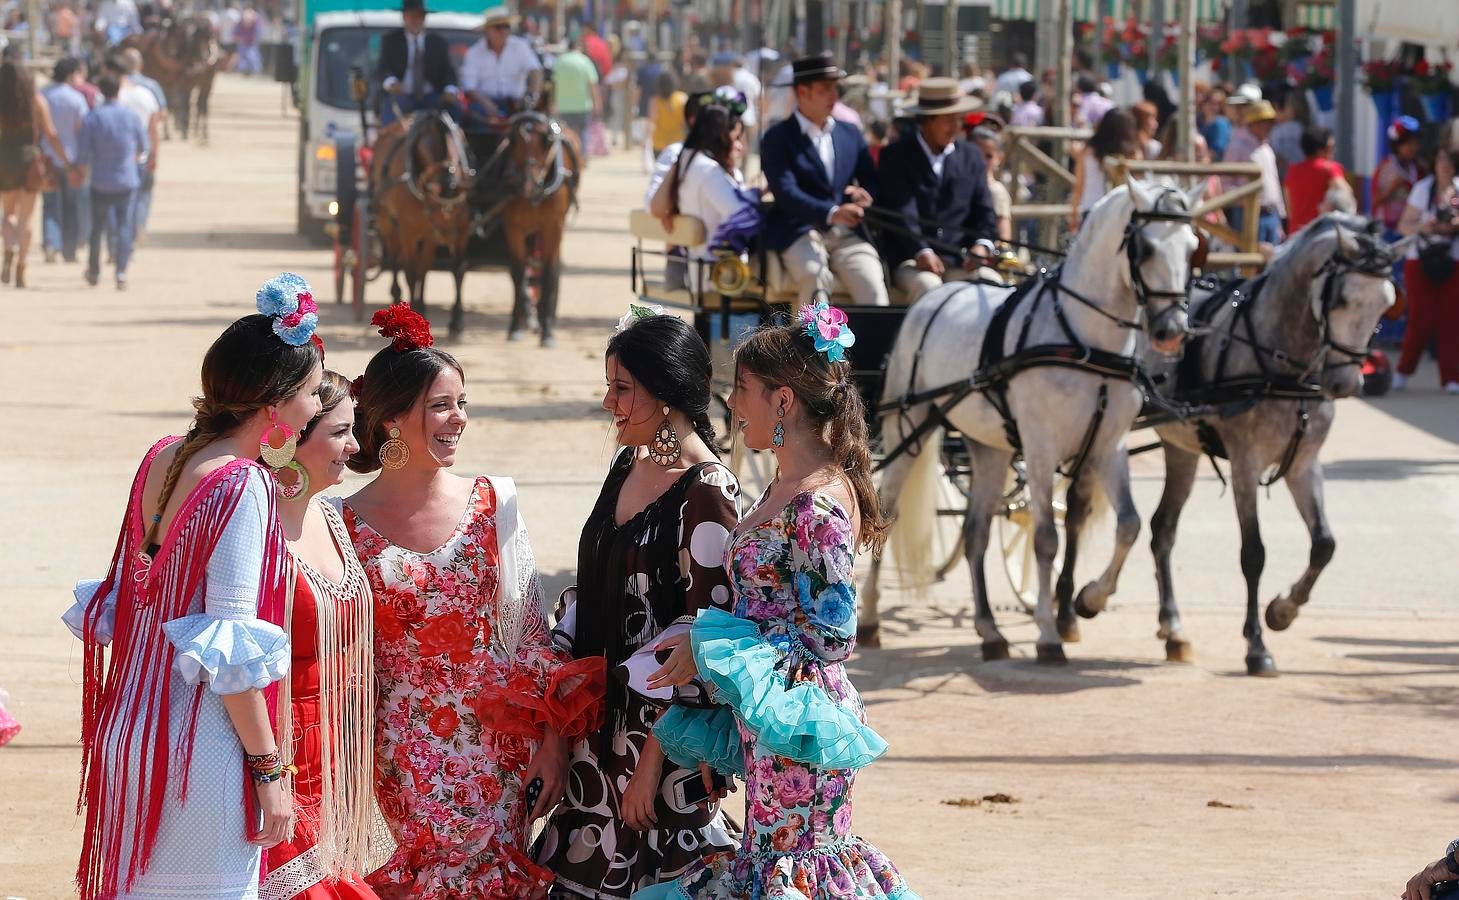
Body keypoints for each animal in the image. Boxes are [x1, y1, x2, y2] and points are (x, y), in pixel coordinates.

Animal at [370, 108, 472, 326]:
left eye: (457, 209)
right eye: (434, 207)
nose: (446, 236)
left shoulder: (455, 228)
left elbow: (453, 268)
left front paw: (456, 319)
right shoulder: (408, 229)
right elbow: (410, 271)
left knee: (421, 266)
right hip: (387, 222)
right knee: (395, 258)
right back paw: (396, 293)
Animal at [490, 111, 580, 347]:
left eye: (546, 140)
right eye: (513, 140)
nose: (528, 185)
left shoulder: (553, 227)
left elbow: (548, 273)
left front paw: (547, 330)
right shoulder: (513, 228)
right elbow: (518, 273)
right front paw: (515, 326)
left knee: (549, 268)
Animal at [857, 178, 1202, 662]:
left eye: (1192, 248)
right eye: (1147, 247)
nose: (1172, 331)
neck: (1082, 338)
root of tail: (933, 298)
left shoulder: (1108, 446)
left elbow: (1129, 525)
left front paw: (1090, 600)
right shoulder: (1041, 449)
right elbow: (1045, 539)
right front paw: (1048, 632)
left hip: (989, 449)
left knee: (976, 533)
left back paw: (989, 630)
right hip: (909, 429)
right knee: (887, 513)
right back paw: (870, 619)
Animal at [1143, 212, 1406, 673]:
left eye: (1386, 304)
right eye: (1341, 299)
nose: (1345, 383)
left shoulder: (1303, 465)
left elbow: (1324, 545)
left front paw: (1282, 610)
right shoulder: (1245, 465)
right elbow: (1254, 553)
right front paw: (1256, 645)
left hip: (1181, 449)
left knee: (1163, 530)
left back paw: (1171, 628)